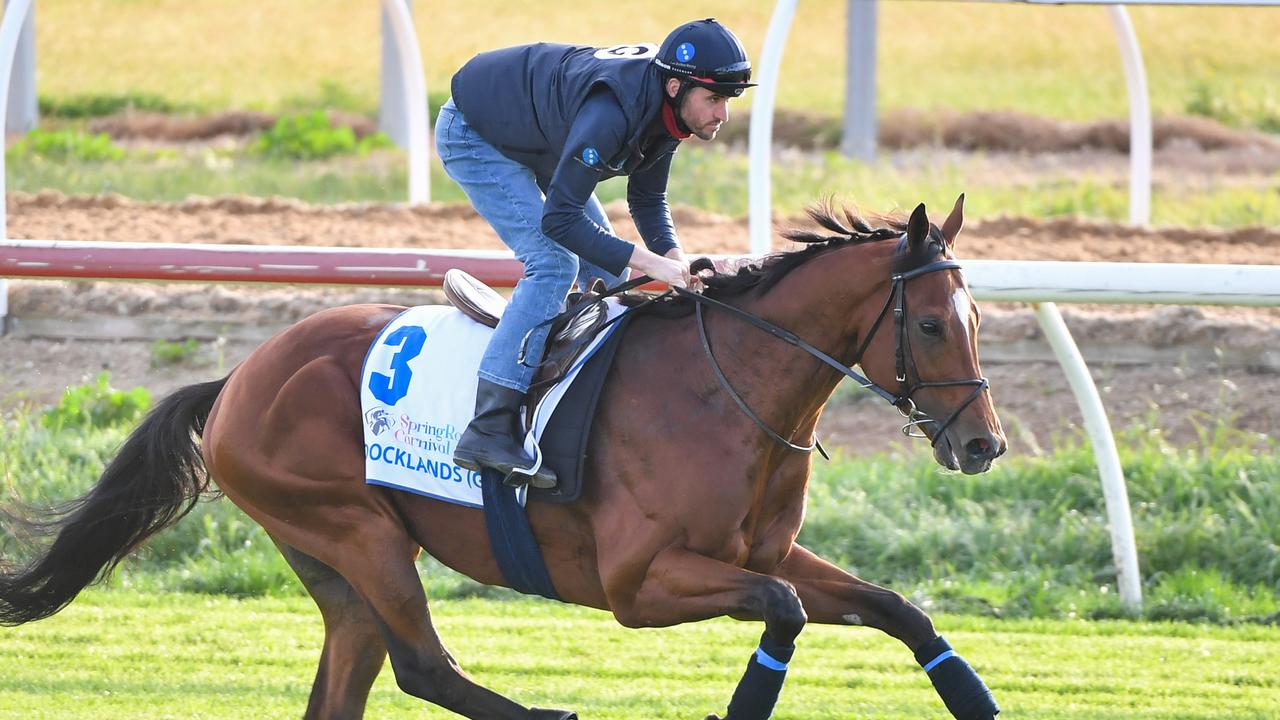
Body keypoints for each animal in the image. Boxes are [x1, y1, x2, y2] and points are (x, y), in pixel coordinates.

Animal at [0, 196, 1003, 717]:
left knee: (355, 671)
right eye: (927, 324)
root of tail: (240, 375)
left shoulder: (763, 553)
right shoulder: (638, 584)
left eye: (977, 319)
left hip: (331, 560)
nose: (983, 443)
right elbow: (785, 613)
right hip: (353, 527)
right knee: (421, 666)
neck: (726, 390)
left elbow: (901, 611)